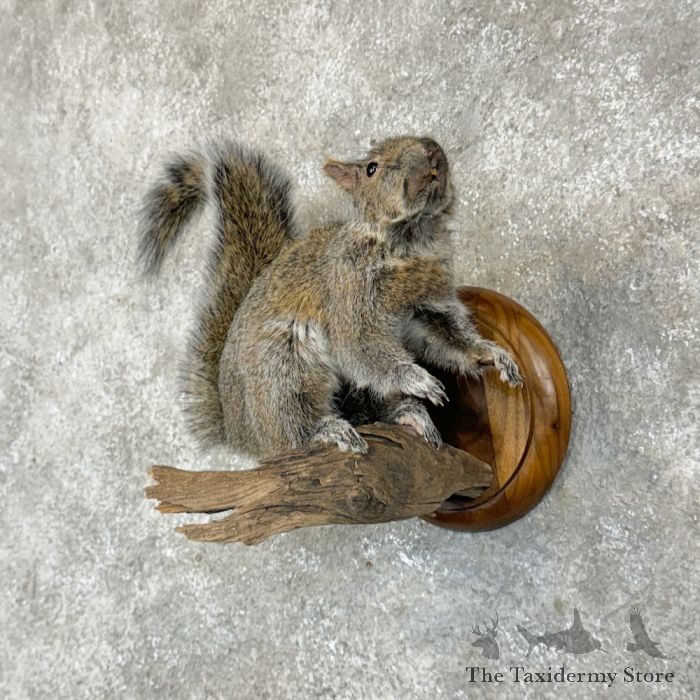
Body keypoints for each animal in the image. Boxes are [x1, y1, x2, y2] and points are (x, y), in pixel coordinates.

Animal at [139, 137, 522, 457]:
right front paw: (419, 379)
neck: (411, 242)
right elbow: (359, 346)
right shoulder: (347, 295)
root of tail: (241, 434)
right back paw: (328, 429)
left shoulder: (427, 302)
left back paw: (406, 413)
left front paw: (491, 354)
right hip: (283, 371)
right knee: (294, 432)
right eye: (371, 169)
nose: (431, 149)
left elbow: (446, 335)